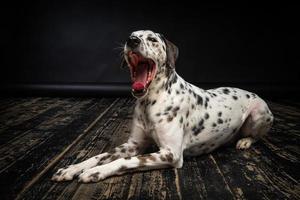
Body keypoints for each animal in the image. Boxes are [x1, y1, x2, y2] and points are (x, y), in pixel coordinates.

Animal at [52, 30, 274, 183]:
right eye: (131, 35)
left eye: (152, 39)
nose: (132, 41)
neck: (150, 101)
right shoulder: (133, 144)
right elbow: (101, 155)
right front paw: (73, 168)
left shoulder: (170, 153)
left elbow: (126, 161)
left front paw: (94, 172)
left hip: (259, 114)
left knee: (256, 136)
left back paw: (244, 141)